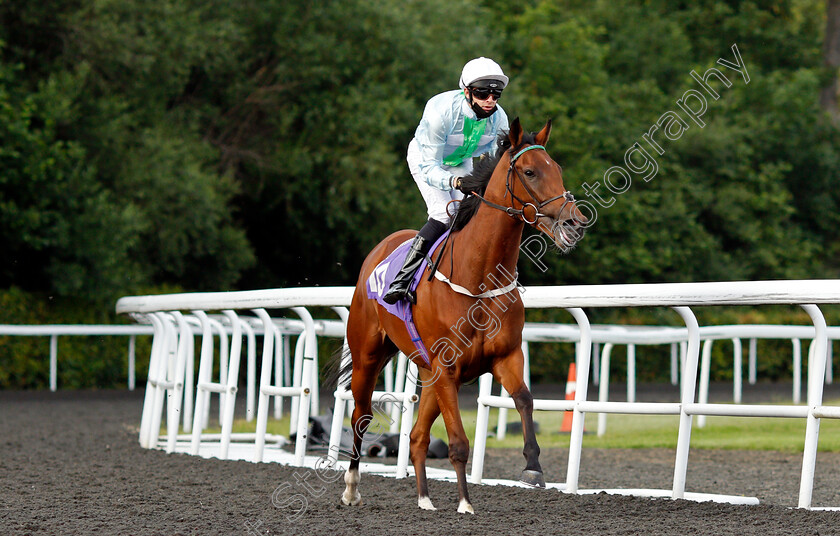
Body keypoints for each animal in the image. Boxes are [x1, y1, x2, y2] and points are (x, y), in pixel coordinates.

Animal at [338, 119, 588, 512]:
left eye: (558, 169)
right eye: (530, 172)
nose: (575, 223)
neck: (478, 279)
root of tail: (381, 248)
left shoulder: (504, 357)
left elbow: (524, 399)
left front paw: (532, 467)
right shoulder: (446, 368)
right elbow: (457, 441)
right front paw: (465, 503)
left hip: (427, 373)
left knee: (417, 436)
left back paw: (425, 499)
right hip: (368, 358)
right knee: (361, 417)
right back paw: (351, 488)